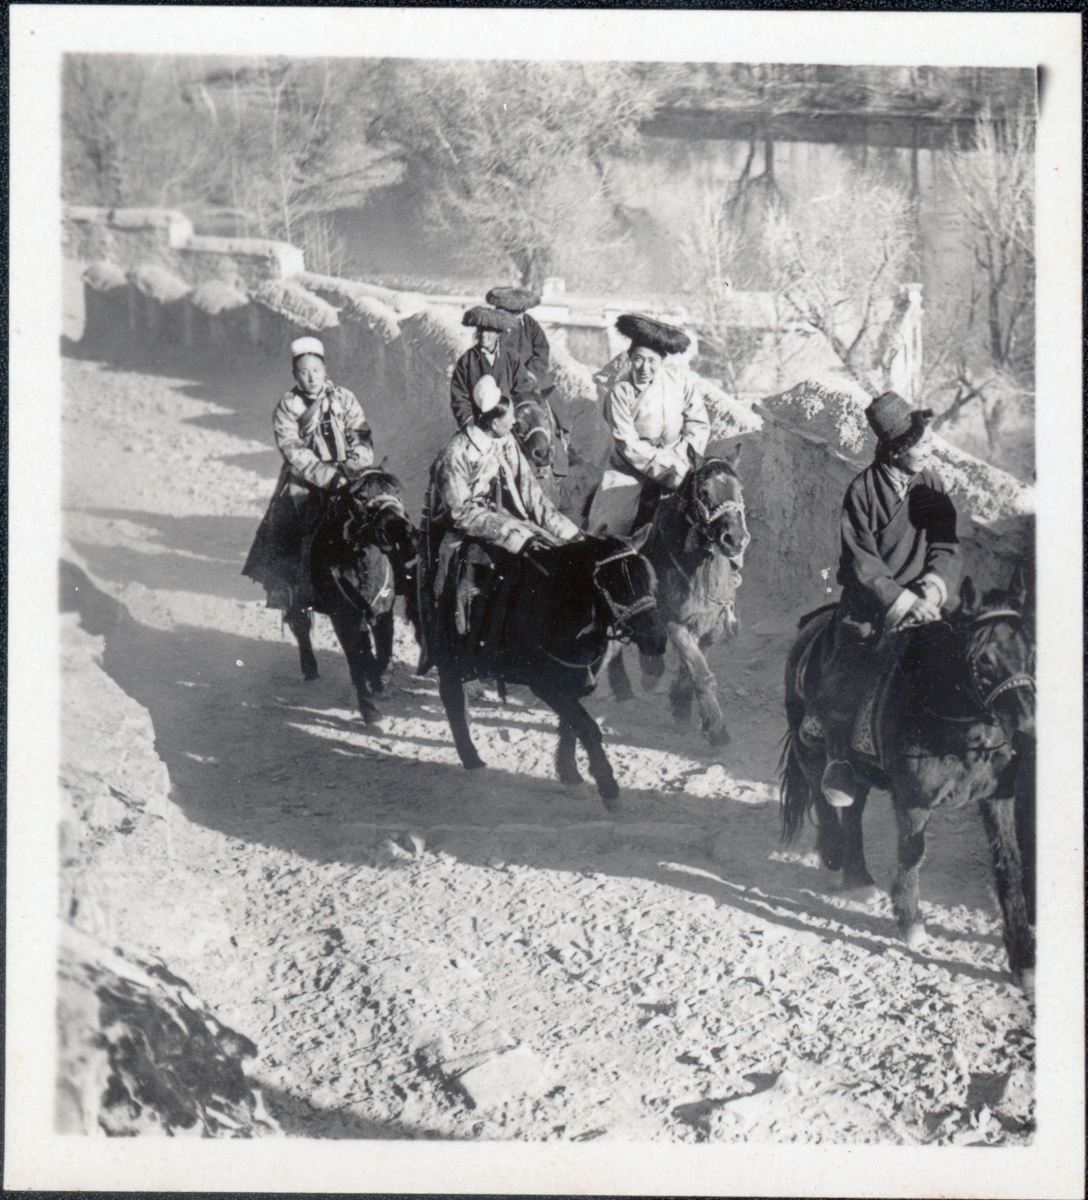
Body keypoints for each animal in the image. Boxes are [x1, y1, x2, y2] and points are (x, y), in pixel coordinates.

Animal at [429, 532, 666, 806]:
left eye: (648, 579)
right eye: (614, 583)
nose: (657, 639)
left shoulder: (573, 683)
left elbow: (571, 725)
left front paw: (570, 775)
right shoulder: (545, 685)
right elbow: (587, 726)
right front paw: (608, 786)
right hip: (450, 652)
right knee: (451, 695)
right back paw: (472, 759)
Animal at [594, 446, 748, 744]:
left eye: (739, 489)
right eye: (704, 492)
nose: (735, 539)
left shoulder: (712, 627)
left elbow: (692, 669)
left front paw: (681, 706)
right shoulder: (674, 623)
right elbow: (700, 672)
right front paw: (716, 728)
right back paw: (625, 688)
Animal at [782, 576, 1036, 988]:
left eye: (1030, 652)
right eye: (983, 659)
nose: (1029, 727)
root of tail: (812, 623)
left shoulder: (998, 798)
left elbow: (1009, 866)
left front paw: (1023, 957)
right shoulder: (913, 799)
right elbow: (911, 853)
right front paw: (910, 921)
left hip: (860, 772)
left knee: (853, 813)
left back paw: (858, 877)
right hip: (808, 745)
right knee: (824, 797)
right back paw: (834, 856)